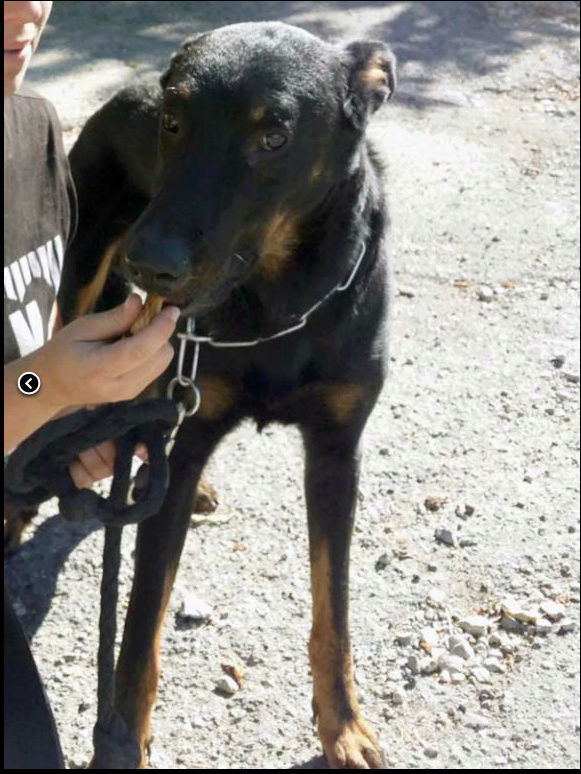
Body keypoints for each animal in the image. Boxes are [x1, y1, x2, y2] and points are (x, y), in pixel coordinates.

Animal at [57, 22, 394, 768]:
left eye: (273, 135)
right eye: (173, 123)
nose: (148, 263)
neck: (279, 298)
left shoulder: (338, 452)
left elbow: (335, 610)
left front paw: (344, 728)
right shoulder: (185, 441)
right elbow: (140, 626)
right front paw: (121, 742)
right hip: (89, 275)